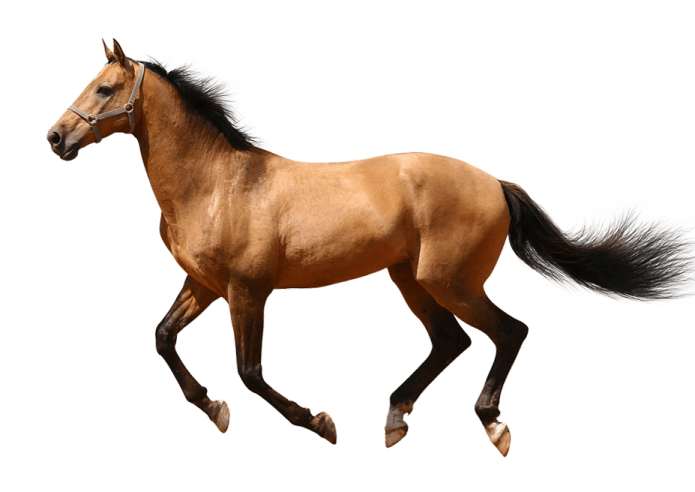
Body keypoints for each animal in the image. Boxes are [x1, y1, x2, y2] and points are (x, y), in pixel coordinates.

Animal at [46, 39, 695, 457]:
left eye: (106, 87)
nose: (56, 137)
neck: (217, 184)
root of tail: (494, 183)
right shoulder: (203, 285)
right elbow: (163, 339)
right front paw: (216, 411)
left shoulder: (246, 290)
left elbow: (250, 371)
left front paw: (321, 424)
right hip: (409, 277)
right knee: (452, 341)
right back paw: (396, 420)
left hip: (448, 280)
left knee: (509, 331)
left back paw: (492, 426)